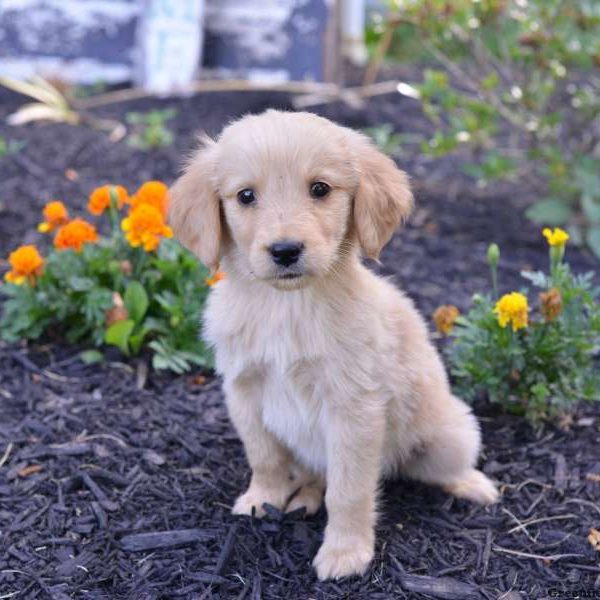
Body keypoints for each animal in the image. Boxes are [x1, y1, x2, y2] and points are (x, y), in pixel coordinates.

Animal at [168, 109, 496, 580]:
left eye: (320, 189)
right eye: (246, 196)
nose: (285, 250)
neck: (286, 307)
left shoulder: (353, 408)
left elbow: (349, 489)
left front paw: (345, 553)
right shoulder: (243, 389)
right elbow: (263, 455)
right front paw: (261, 499)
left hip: (449, 435)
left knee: (446, 465)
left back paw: (473, 485)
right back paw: (303, 495)